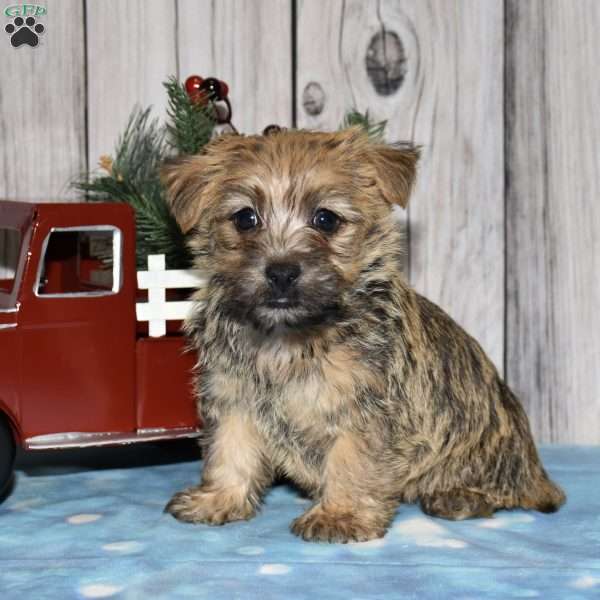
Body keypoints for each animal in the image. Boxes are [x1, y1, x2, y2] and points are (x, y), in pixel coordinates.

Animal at [162, 127, 564, 544]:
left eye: (325, 219)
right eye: (245, 218)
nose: (281, 272)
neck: (288, 337)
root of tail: (538, 473)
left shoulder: (363, 411)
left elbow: (351, 462)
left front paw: (340, 515)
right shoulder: (234, 399)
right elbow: (230, 452)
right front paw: (217, 499)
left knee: (503, 491)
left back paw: (458, 496)